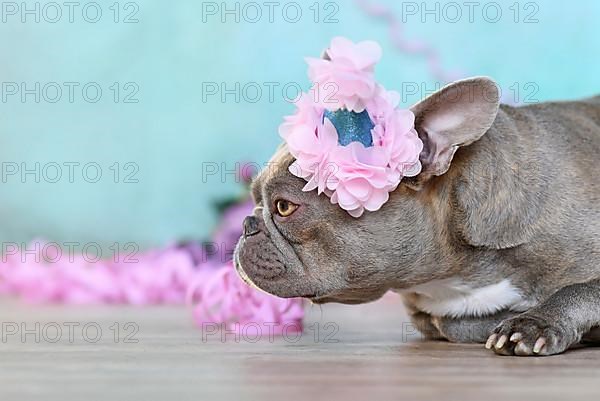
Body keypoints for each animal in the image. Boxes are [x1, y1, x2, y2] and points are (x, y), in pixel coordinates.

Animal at [234, 78, 600, 356]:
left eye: (284, 207)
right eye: (255, 201)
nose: (248, 223)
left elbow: (581, 289)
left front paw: (535, 323)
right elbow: (452, 323)